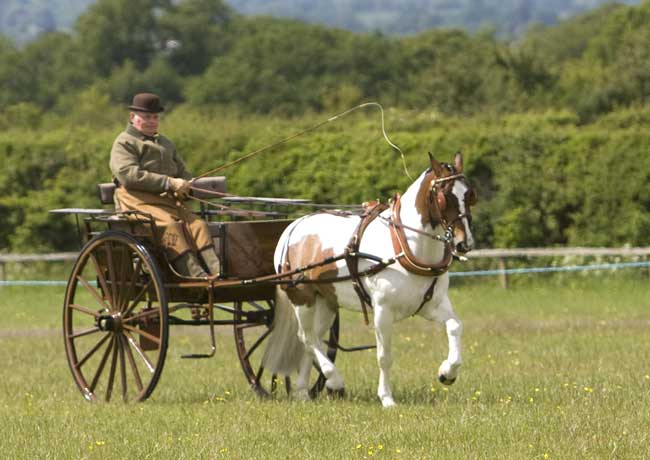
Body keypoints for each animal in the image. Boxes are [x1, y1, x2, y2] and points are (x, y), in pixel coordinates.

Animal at [260, 153, 476, 408]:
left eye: (469, 195)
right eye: (444, 197)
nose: (465, 243)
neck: (404, 245)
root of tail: (294, 226)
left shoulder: (432, 305)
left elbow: (455, 326)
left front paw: (447, 372)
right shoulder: (383, 310)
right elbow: (384, 356)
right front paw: (387, 398)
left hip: (326, 302)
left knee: (313, 340)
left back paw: (303, 391)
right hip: (302, 298)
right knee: (307, 337)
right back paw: (334, 381)